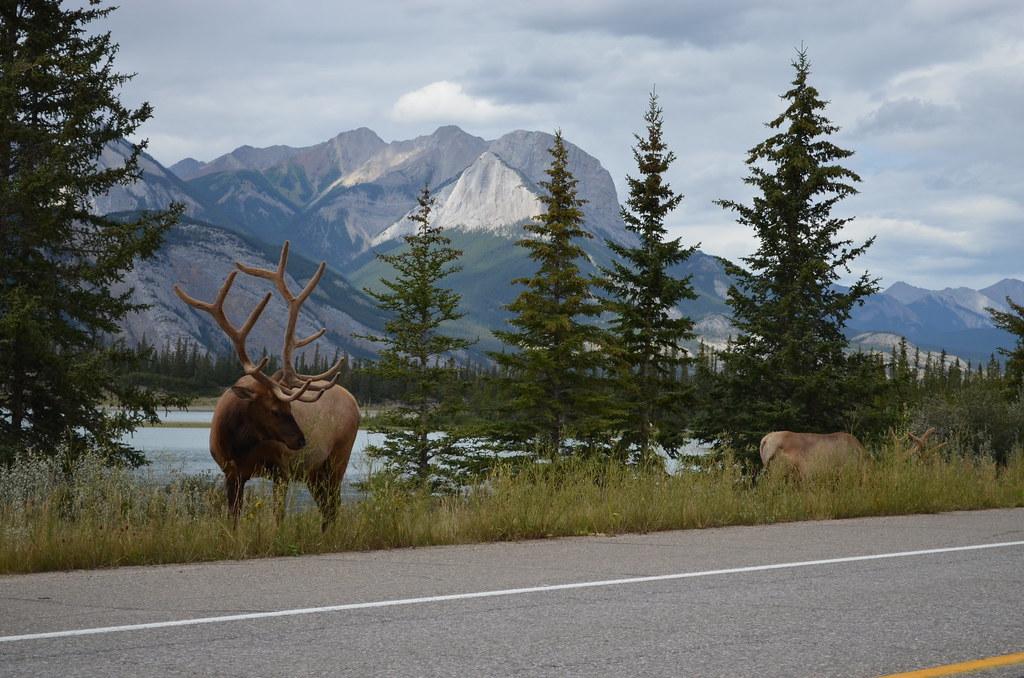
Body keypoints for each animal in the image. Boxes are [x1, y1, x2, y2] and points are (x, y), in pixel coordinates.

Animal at [177, 244, 364, 532]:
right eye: (275, 409)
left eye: (291, 407)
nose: (301, 440)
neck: (239, 443)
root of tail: (355, 402)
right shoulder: (231, 472)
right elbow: (233, 517)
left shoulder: (282, 470)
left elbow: (278, 517)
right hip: (313, 472)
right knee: (327, 506)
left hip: (336, 459)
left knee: (333, 505)